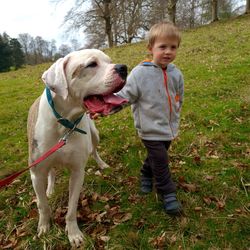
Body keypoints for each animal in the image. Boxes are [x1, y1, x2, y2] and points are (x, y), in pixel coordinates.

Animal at [27, 48, 127, 246]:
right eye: (91, 64)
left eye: (109, 61)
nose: (123, 67)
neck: (65, 122)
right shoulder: (36, 172)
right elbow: (42, 204)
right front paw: (44, 226)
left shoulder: (77, 172)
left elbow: (72, 207)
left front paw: (73, 233)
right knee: (51, 172)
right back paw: (50, 189)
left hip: (94, 135)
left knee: (94, 151)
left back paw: (101, 164)